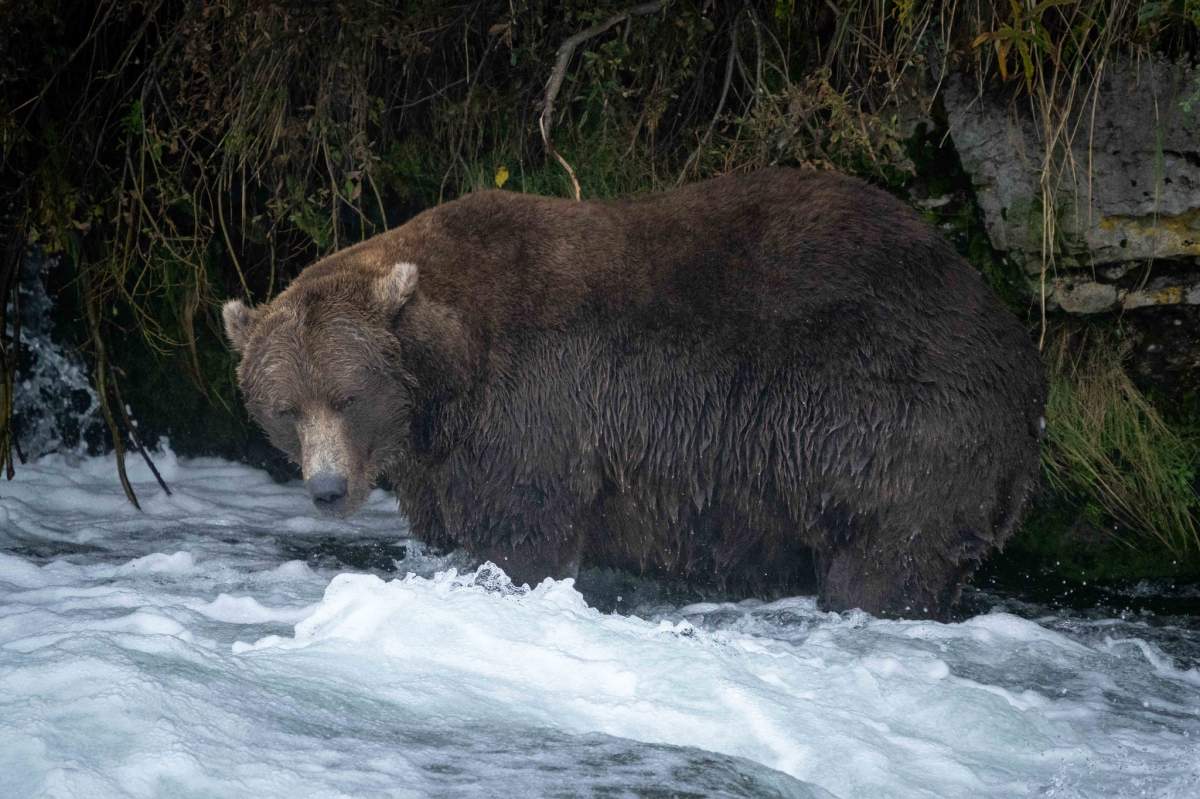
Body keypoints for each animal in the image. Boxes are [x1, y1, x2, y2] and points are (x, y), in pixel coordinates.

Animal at [223, 168, 1045, 619]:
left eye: (348, 396)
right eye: (286, 409)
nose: (328, 488)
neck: (447, 374)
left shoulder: (534, 406)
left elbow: (523, 529)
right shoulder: (443, 452)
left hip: (892, 418)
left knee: (886, 552)